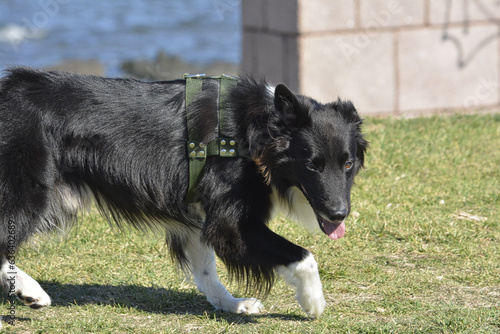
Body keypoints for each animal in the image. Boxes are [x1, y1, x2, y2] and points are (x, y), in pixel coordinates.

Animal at [0, 66, 368, 318]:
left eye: (348, 164)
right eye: (311, 165)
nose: (339, 214)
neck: (256, 132)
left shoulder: (198, 212)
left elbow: (206, 269)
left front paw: (231, 304)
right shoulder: (231, 223)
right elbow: (303, 256)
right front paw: (313, 301)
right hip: (29, 192)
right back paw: (30, 290)